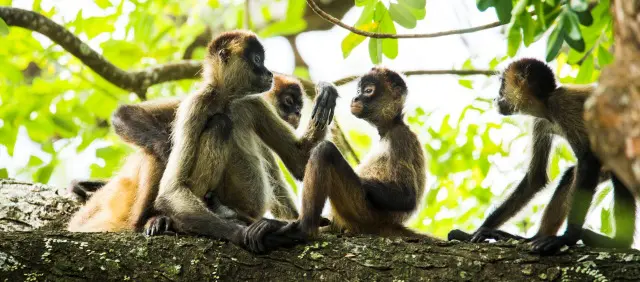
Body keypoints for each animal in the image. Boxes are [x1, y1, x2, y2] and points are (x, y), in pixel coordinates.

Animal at [144, 30, 336, 253]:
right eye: (257, 59)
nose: (269, 73)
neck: (226, 101)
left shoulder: (254, 101)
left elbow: (299, 160)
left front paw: (325, 95)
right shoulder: (194, 105)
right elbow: (171, 190)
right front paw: (241, 235)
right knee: (220, 123)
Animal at [276, 66, 432, 240]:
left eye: (368, 91)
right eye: (359, 90)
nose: (356, 97)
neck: (390, 127)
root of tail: (389, 224)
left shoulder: (400, 136)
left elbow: (407, 197)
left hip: (364, 213)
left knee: (325, 151)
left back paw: (304, 230)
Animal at [448, 58, 636, 254]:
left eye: (502, 84)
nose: (495, 98)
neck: (547, 105)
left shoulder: (563, 105)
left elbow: (588, 160)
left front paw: (567, 238)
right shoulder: (540, 121)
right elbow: (535, 178)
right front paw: (473, 234)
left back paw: (620, 243)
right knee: (571, 175)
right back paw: (535, 237)